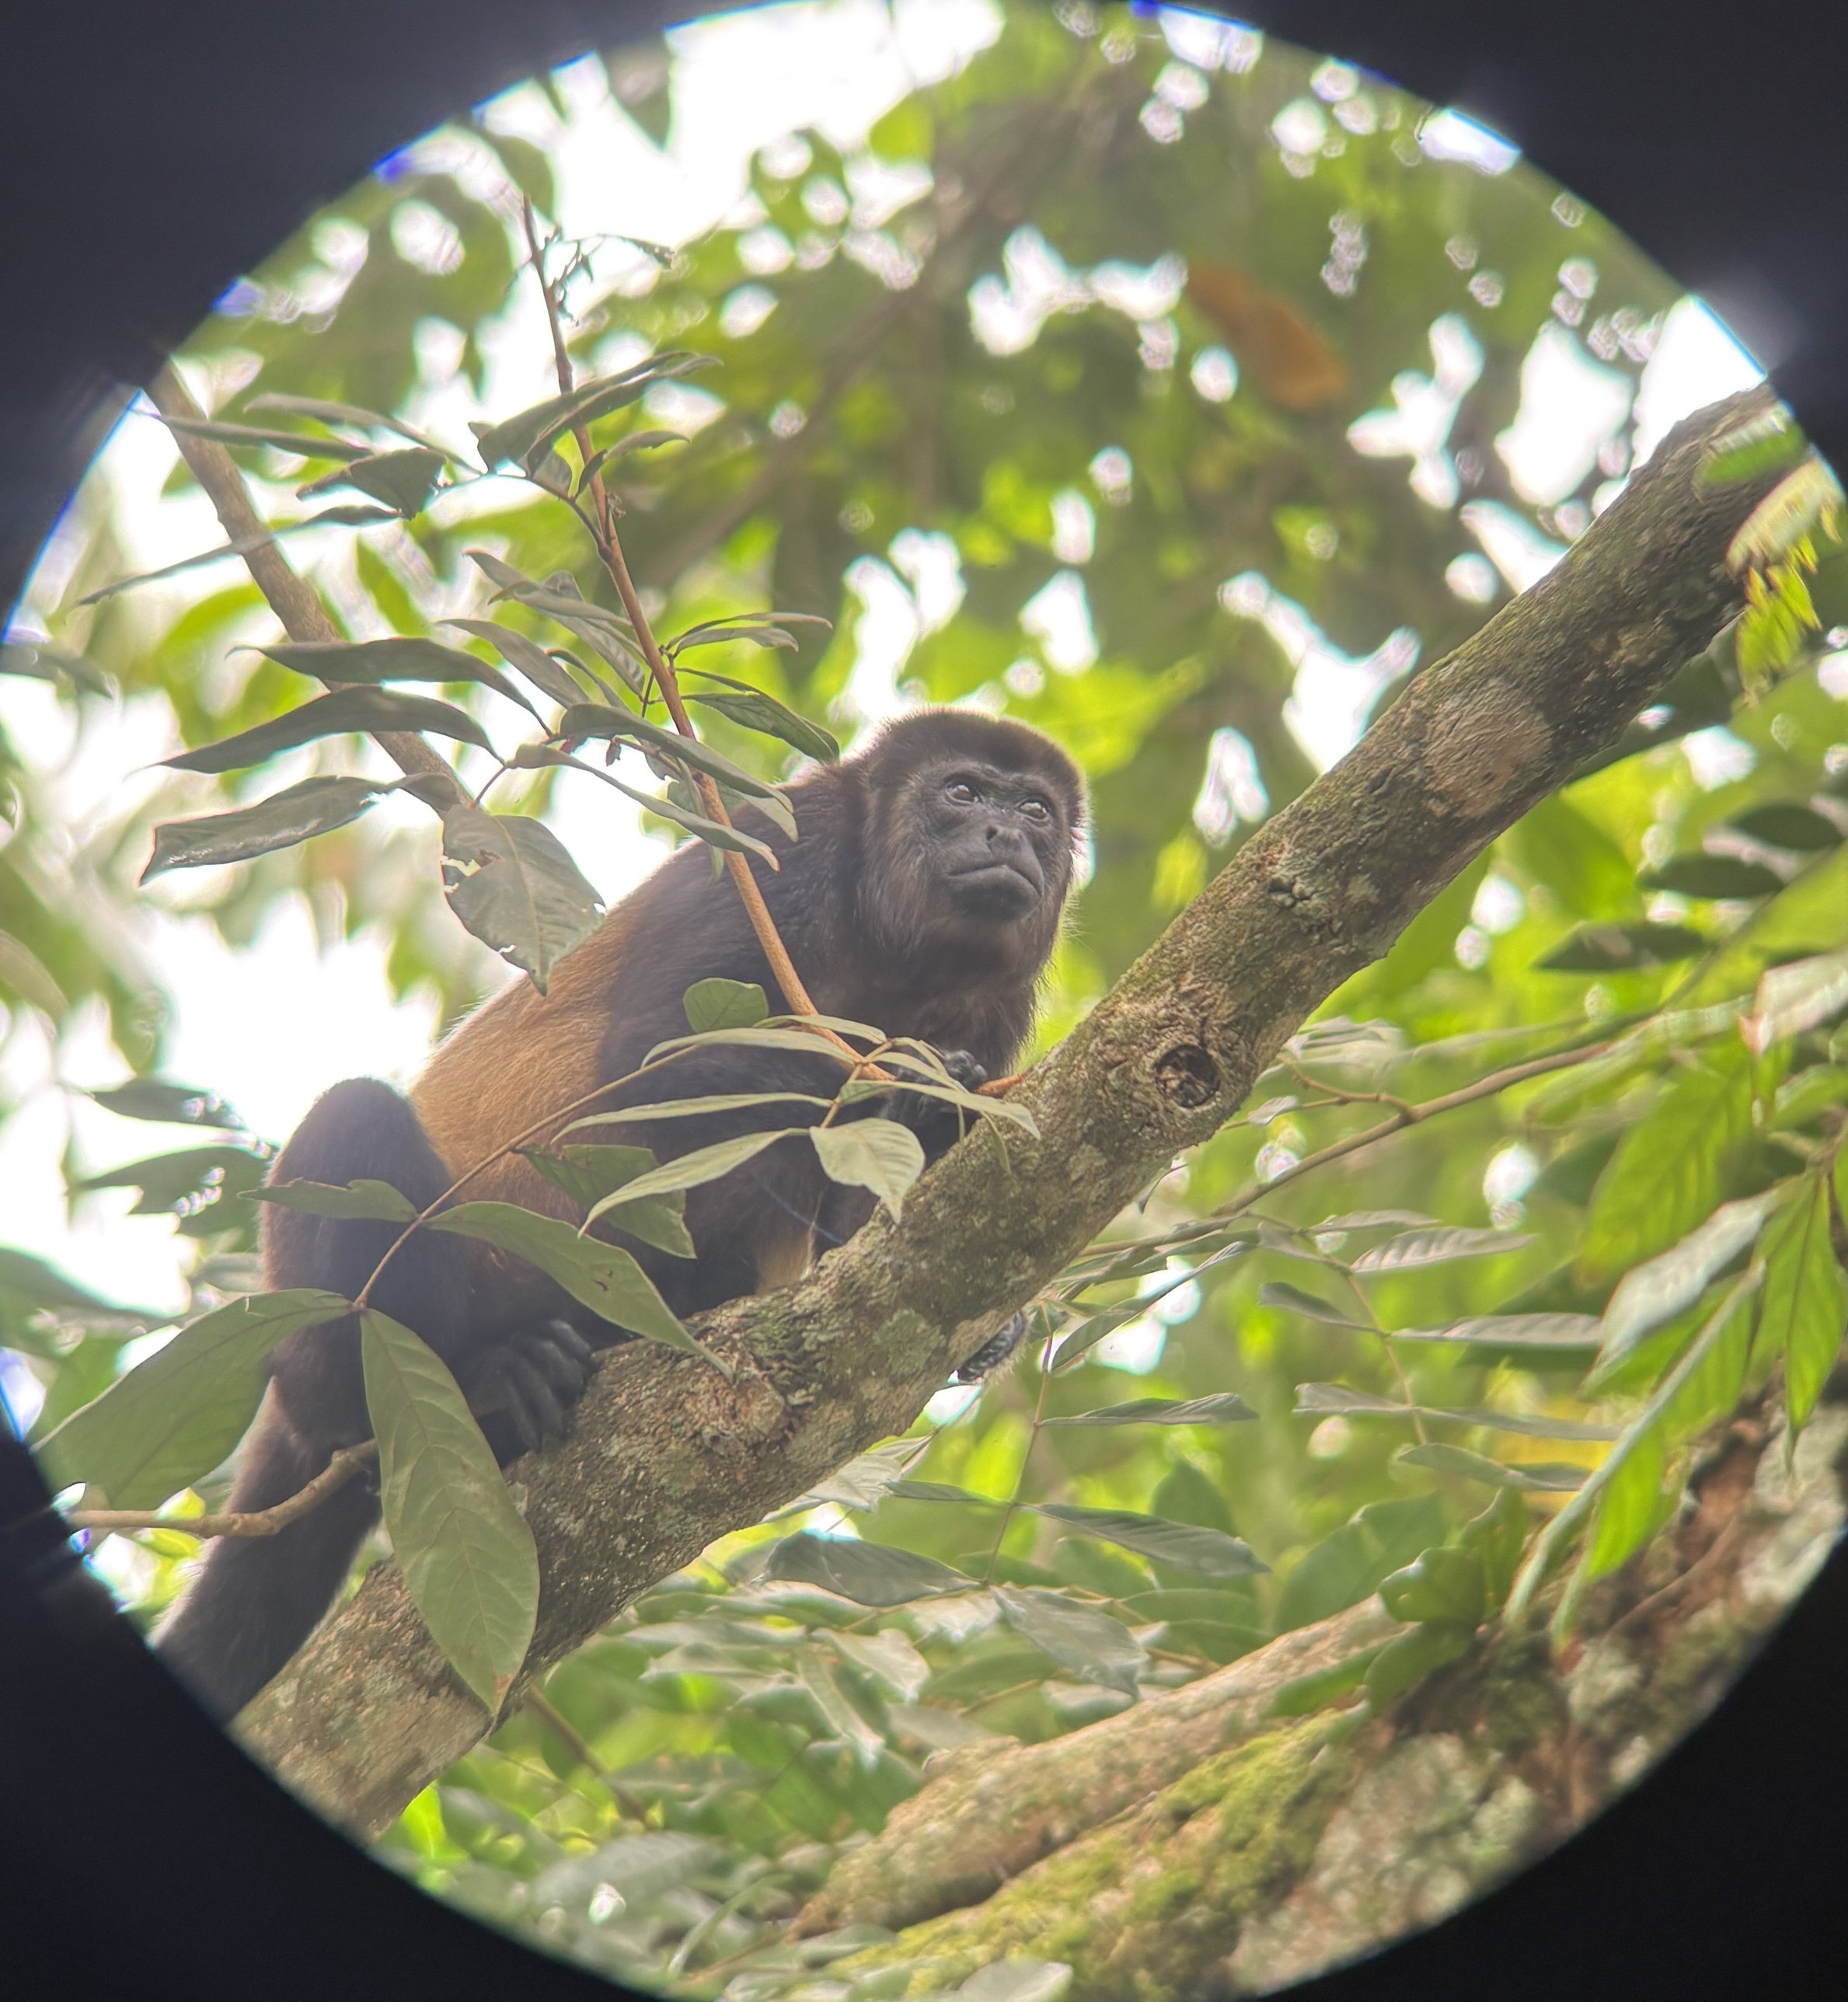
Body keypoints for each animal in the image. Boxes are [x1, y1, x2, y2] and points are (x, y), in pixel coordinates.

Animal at [154, 709, 1084, 1722]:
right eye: (961, 791)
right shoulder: (777, 852)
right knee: (353, 1123)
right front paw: (914, 1077)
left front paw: (985, 1308)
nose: (1003, 834)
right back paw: (477, 1376)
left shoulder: (999, 1002)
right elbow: (644, 1067)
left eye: (1034, 809)